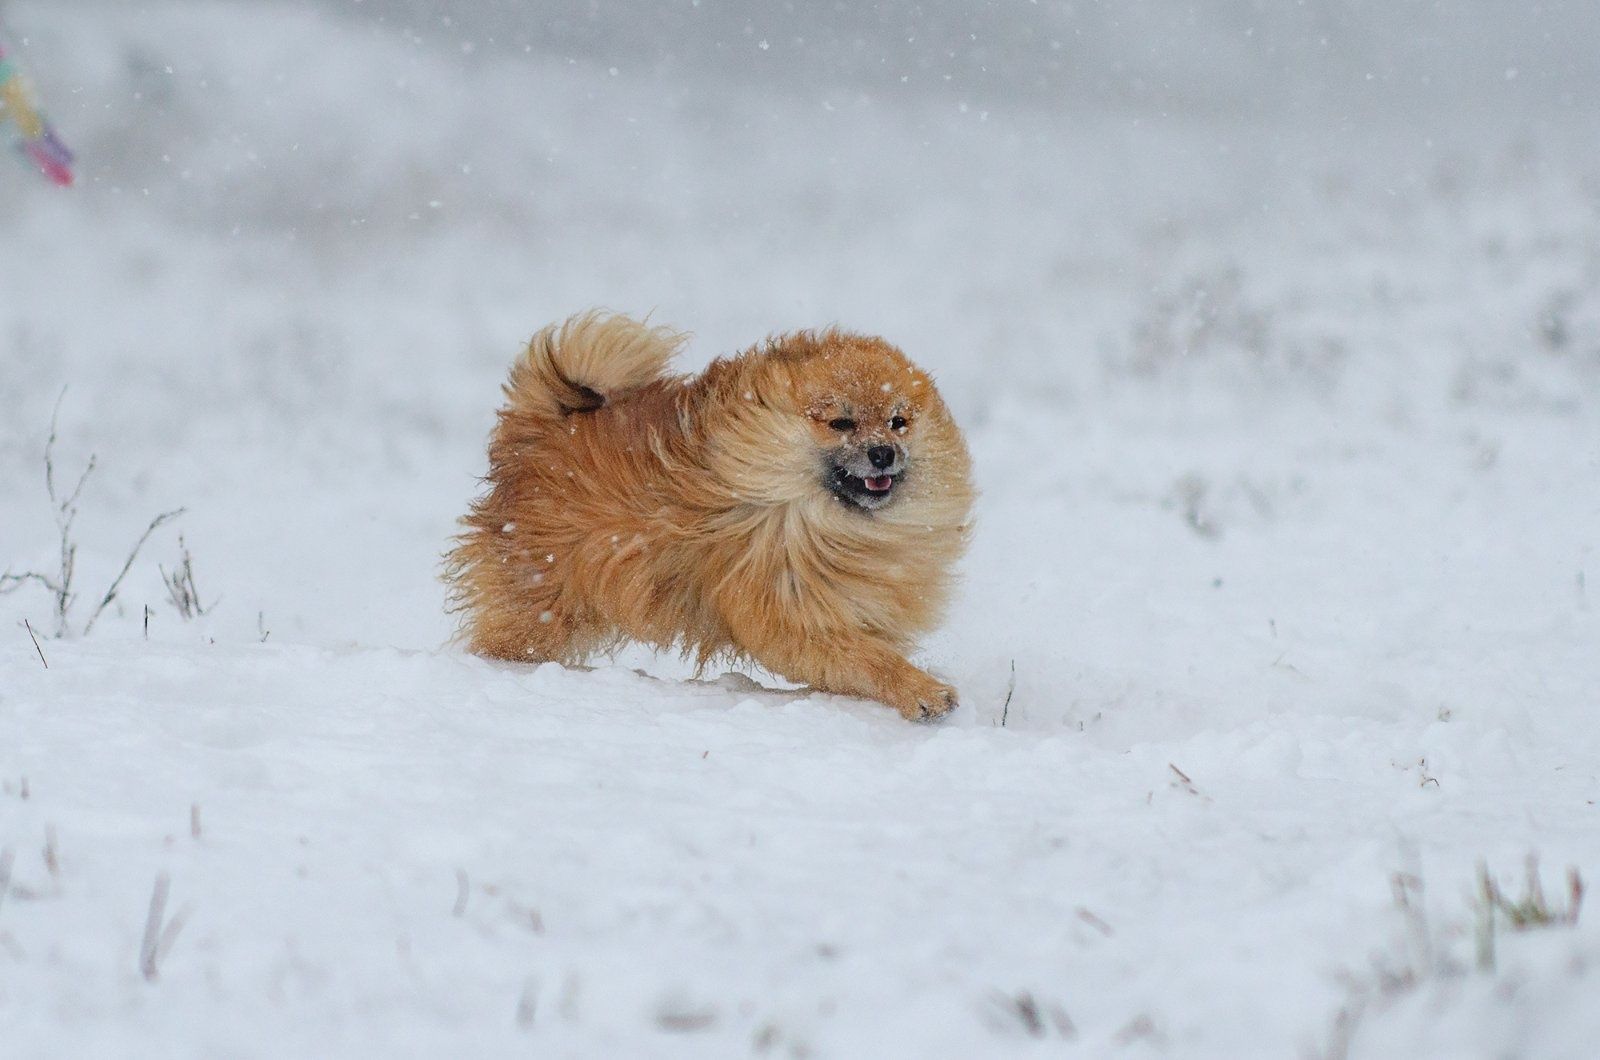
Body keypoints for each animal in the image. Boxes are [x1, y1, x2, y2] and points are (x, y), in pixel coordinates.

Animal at [451, 309, 972, 723]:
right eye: (841, 423)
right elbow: (868, 659)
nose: (883, 453)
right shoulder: (788, 610)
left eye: (898, 422)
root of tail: (539, 427)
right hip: (543, 602)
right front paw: (922, 692)